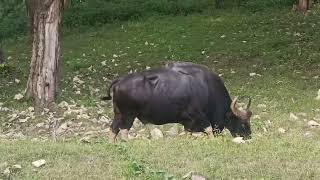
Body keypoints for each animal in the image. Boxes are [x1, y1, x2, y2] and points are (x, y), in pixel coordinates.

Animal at [102, 62, 252, 142]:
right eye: (243, 124)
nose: (249, 137)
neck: (207, 88)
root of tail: (119, 81)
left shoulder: (188, 122)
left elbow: (188, 134)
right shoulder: (199, 116)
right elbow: (209, 129)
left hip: (119, 114)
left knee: (113, 129)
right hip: (128, 115)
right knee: (123, 131)